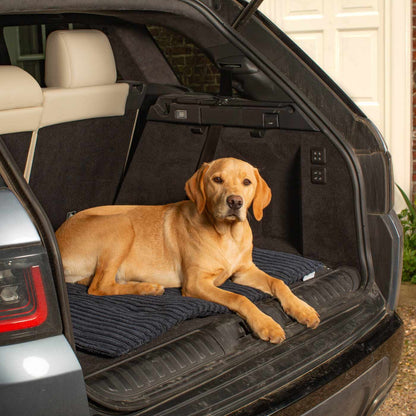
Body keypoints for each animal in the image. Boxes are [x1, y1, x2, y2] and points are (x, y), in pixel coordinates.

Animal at [56, 158, 318, 342]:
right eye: (217, 180)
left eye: (247, 182)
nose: (235, 202)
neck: (227, 235)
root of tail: (58, 236)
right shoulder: (196, 283)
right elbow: (239, 297)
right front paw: (266, 324)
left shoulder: (244, 271)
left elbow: (278, 282)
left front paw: (301, 308)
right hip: (122, 224)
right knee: (99, 286)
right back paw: (147, 288)